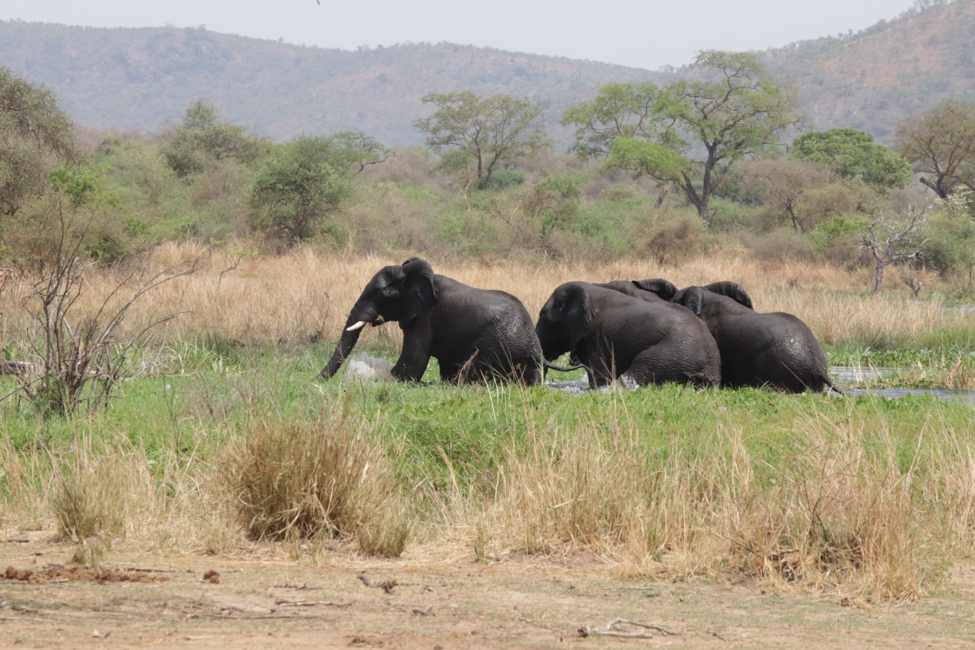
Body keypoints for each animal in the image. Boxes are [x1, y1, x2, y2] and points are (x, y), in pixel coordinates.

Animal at [322, 256, 544, 382]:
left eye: (380, 294)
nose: (318, 379)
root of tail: (534, 349)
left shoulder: (423, 317)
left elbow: (413, 362)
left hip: (495, 346)